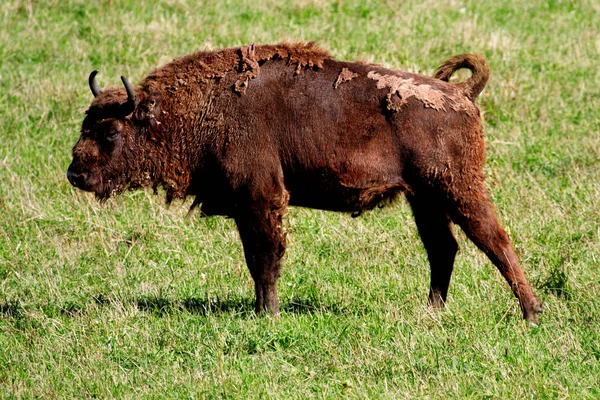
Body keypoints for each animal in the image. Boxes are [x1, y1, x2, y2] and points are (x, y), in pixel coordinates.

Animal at [68, 42, 540, 324]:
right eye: (85, 125)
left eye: (110, 132)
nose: (75, 173)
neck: (202, 108)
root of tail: (461, 94)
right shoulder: (246, 207)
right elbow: (255, 260)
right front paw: (261, 309)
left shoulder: (262, 199)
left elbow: (265, 259)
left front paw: (268, 314)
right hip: (423, 199)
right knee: (444, 248)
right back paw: (431, 313)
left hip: (458, 190)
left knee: (495, 240)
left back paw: (531, 313)